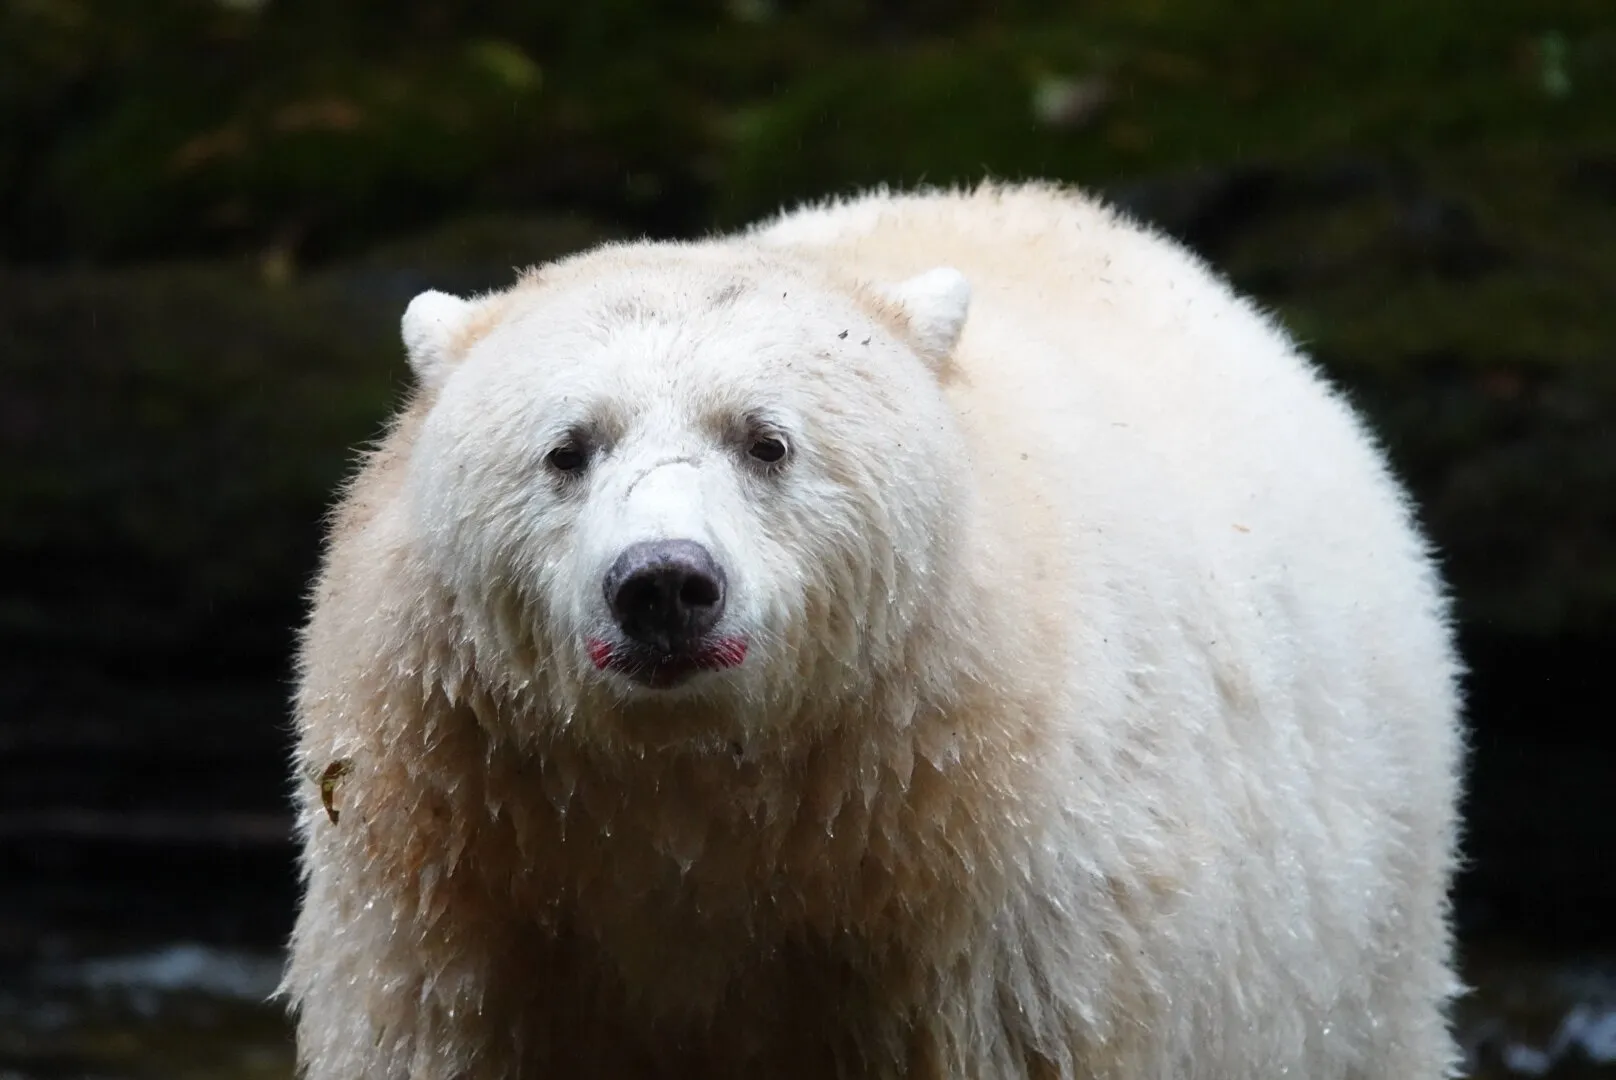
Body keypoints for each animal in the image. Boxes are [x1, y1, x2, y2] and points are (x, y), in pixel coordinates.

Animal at [281, 182, 1465, 1079]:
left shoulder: (992, 926)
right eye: (568, 447)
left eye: (766, 440)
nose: (662, 585)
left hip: (1360, 924)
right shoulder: (461, 882)